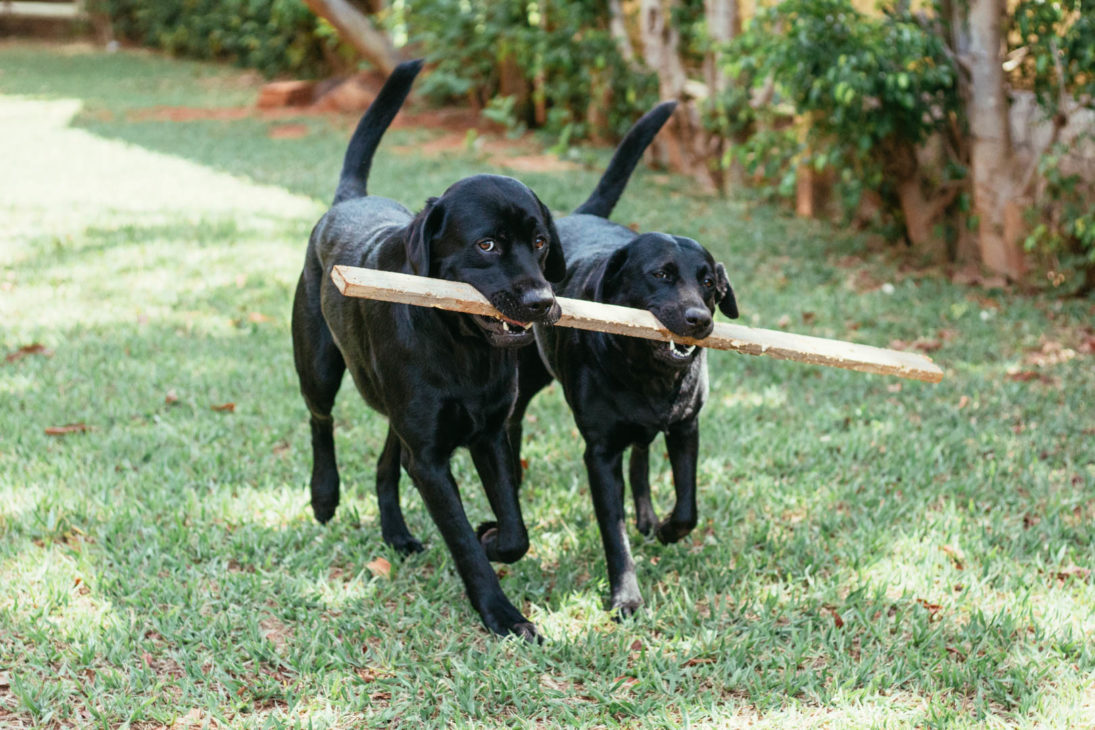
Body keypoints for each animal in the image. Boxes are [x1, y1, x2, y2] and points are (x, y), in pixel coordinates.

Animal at [293, 59, 565, 639]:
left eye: (539, 242)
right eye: (487, 244)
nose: (542, 301)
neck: (461, 346)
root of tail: (349, 201)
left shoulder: (487, 434)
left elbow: (515, 531)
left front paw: (494, 535)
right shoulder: (433, 461)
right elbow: (463, 544)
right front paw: (503, 614)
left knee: (384, 462)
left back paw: (395, 533)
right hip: (319, 365)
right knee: (320, 420)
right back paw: (324, 496)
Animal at [510, 102, 735, 617]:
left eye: (709, 282)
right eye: (661, 274)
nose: (699, 320)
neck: (646, 373)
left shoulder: (686, 426)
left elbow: (688, 506)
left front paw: (668, 527)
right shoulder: (600, 452)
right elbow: (614, 535)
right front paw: (626, 596)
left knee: (643, 454)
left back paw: (649, 515)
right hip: (527, 376)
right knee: (512, 422)